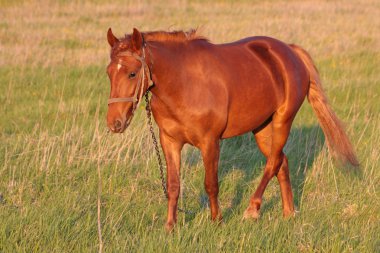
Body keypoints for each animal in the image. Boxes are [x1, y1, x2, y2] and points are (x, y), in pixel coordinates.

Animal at [105, 27, 358, 231]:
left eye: (132, 73)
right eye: (109, 73)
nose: (114, 123)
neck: (184, 83)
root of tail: (291, 51)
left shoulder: (210, 141)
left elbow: (211, 184)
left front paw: (217, 221)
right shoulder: (169, 141)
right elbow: (173, 185)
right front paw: (170, 226)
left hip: (282, 121)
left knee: (273, 162)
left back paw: (252, 210)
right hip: (262, 127)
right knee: (281, 162)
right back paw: (288, 214)